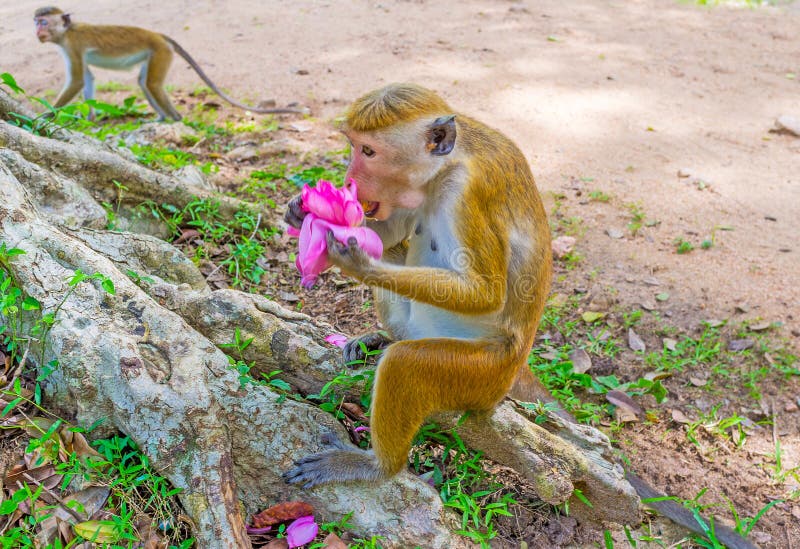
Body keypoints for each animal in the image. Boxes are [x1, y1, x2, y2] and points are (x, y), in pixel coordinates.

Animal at [33, 6, 306, 120]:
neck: (66, 31)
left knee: (152, 84)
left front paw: (45, 115)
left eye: (43, 22)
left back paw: (174, 118)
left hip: (161, 52)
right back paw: (161, 118)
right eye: (35, 21)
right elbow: (87, 79)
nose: (37, 31)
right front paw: (90, 117)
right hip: (156, 53)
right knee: (144, 82)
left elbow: (78, 80)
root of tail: (159, 35)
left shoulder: (73, 46)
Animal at [286, 84, 756, 548]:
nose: (349, 178)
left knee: (409, 363)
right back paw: (386, 339)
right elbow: (392, 233)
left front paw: (358, 262)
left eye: (368, 151)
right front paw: (300, 209)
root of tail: (517, 367)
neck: (445, 167)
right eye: (354, 146)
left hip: (483, 376)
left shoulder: (468, 195)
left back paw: (378, 465)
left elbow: (485, 293)